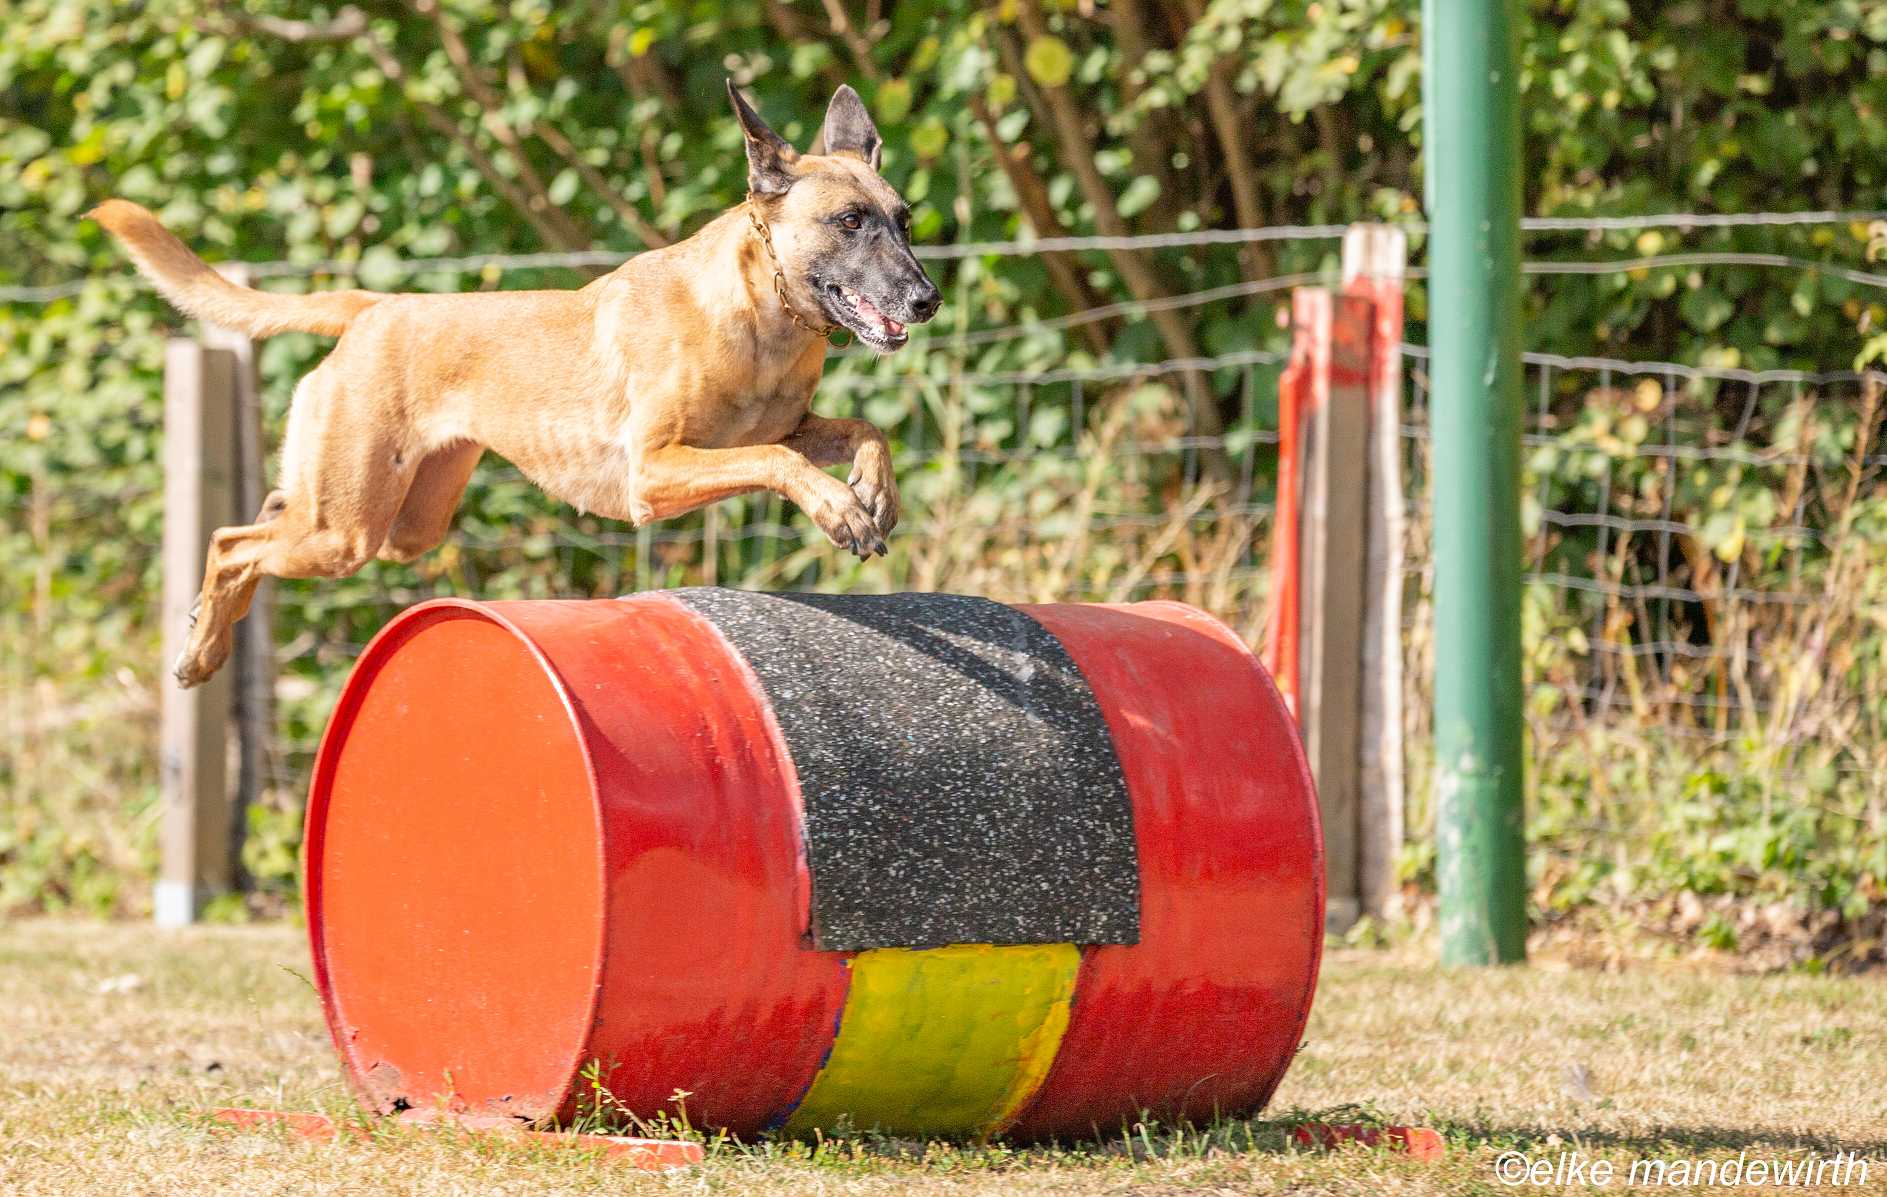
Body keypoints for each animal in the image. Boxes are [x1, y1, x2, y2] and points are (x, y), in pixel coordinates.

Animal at [92, 82, 940, 689]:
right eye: (850, 221)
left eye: (903, 219)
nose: (927, 299)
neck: (764, 309)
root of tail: (376, 306)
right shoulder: (653, 472)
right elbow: (780, 462)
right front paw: (837, 508)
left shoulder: (779, 427)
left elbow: (860, 430)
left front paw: (872, 488)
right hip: (348, 531)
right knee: (231, 541)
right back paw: (201, 648)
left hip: (397, 524)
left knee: (267, 516)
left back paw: (210, 623)